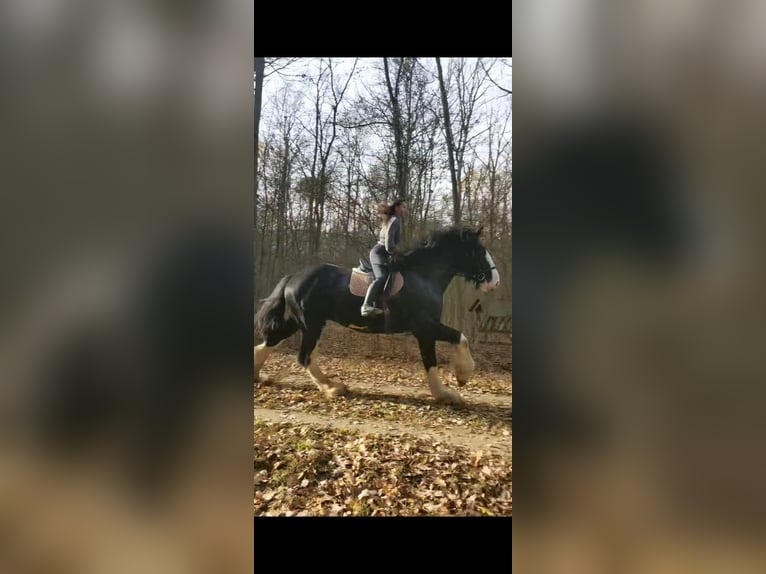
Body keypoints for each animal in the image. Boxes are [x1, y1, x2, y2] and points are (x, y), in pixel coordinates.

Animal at [255, 227, 500, 408]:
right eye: (479, 251)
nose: (495, 280)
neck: (424, 275)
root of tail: (293, 276)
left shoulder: (425, 332)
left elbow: (431, 361)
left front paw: (444, 393)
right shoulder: (426, 327)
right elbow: (458, 339)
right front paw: (460, 378)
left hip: (300, 322)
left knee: (274, 340)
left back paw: (260, 375)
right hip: (311, 324)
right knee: (304, 357)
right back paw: (332, 387)